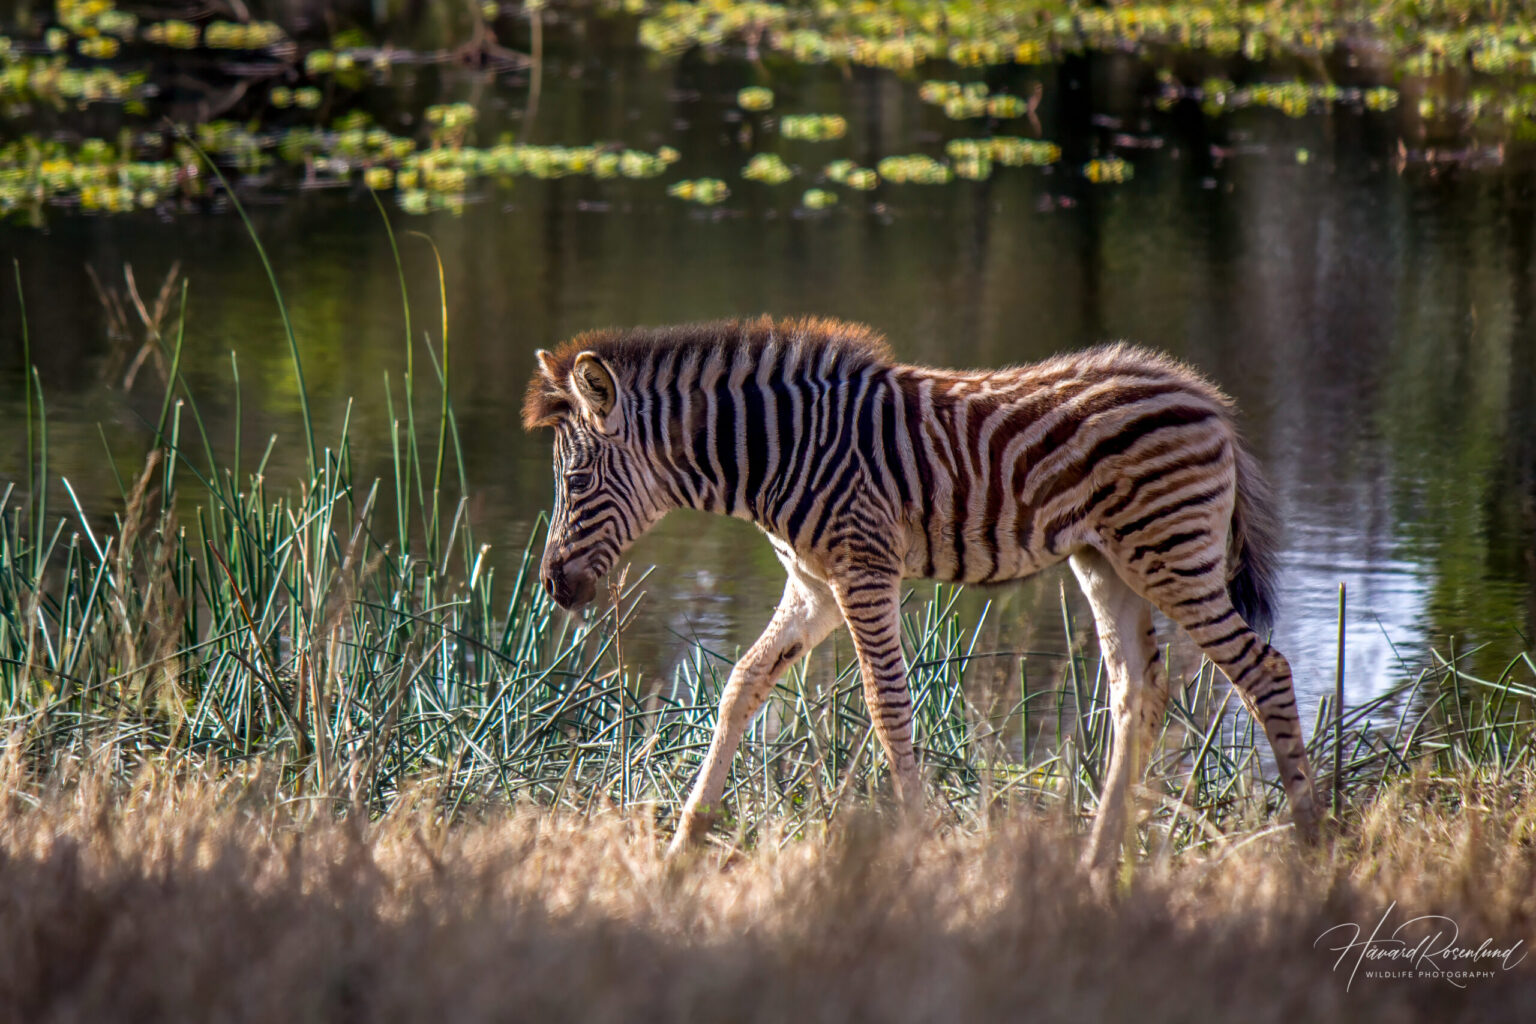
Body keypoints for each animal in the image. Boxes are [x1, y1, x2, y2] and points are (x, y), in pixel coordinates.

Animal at [523, 316, 1320, 869]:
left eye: (575, 482)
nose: (553, 586)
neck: (776, 453)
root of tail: (1205, 397)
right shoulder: (811, 586)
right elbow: (741, 685)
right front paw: (685, 842)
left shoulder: (862, 570)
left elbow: (886, 706)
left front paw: (914, 841)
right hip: (1107, 562)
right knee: (1137, 692)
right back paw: (1097, 857)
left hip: (1173, 558)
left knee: (1265, 672)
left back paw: (1313, 845)